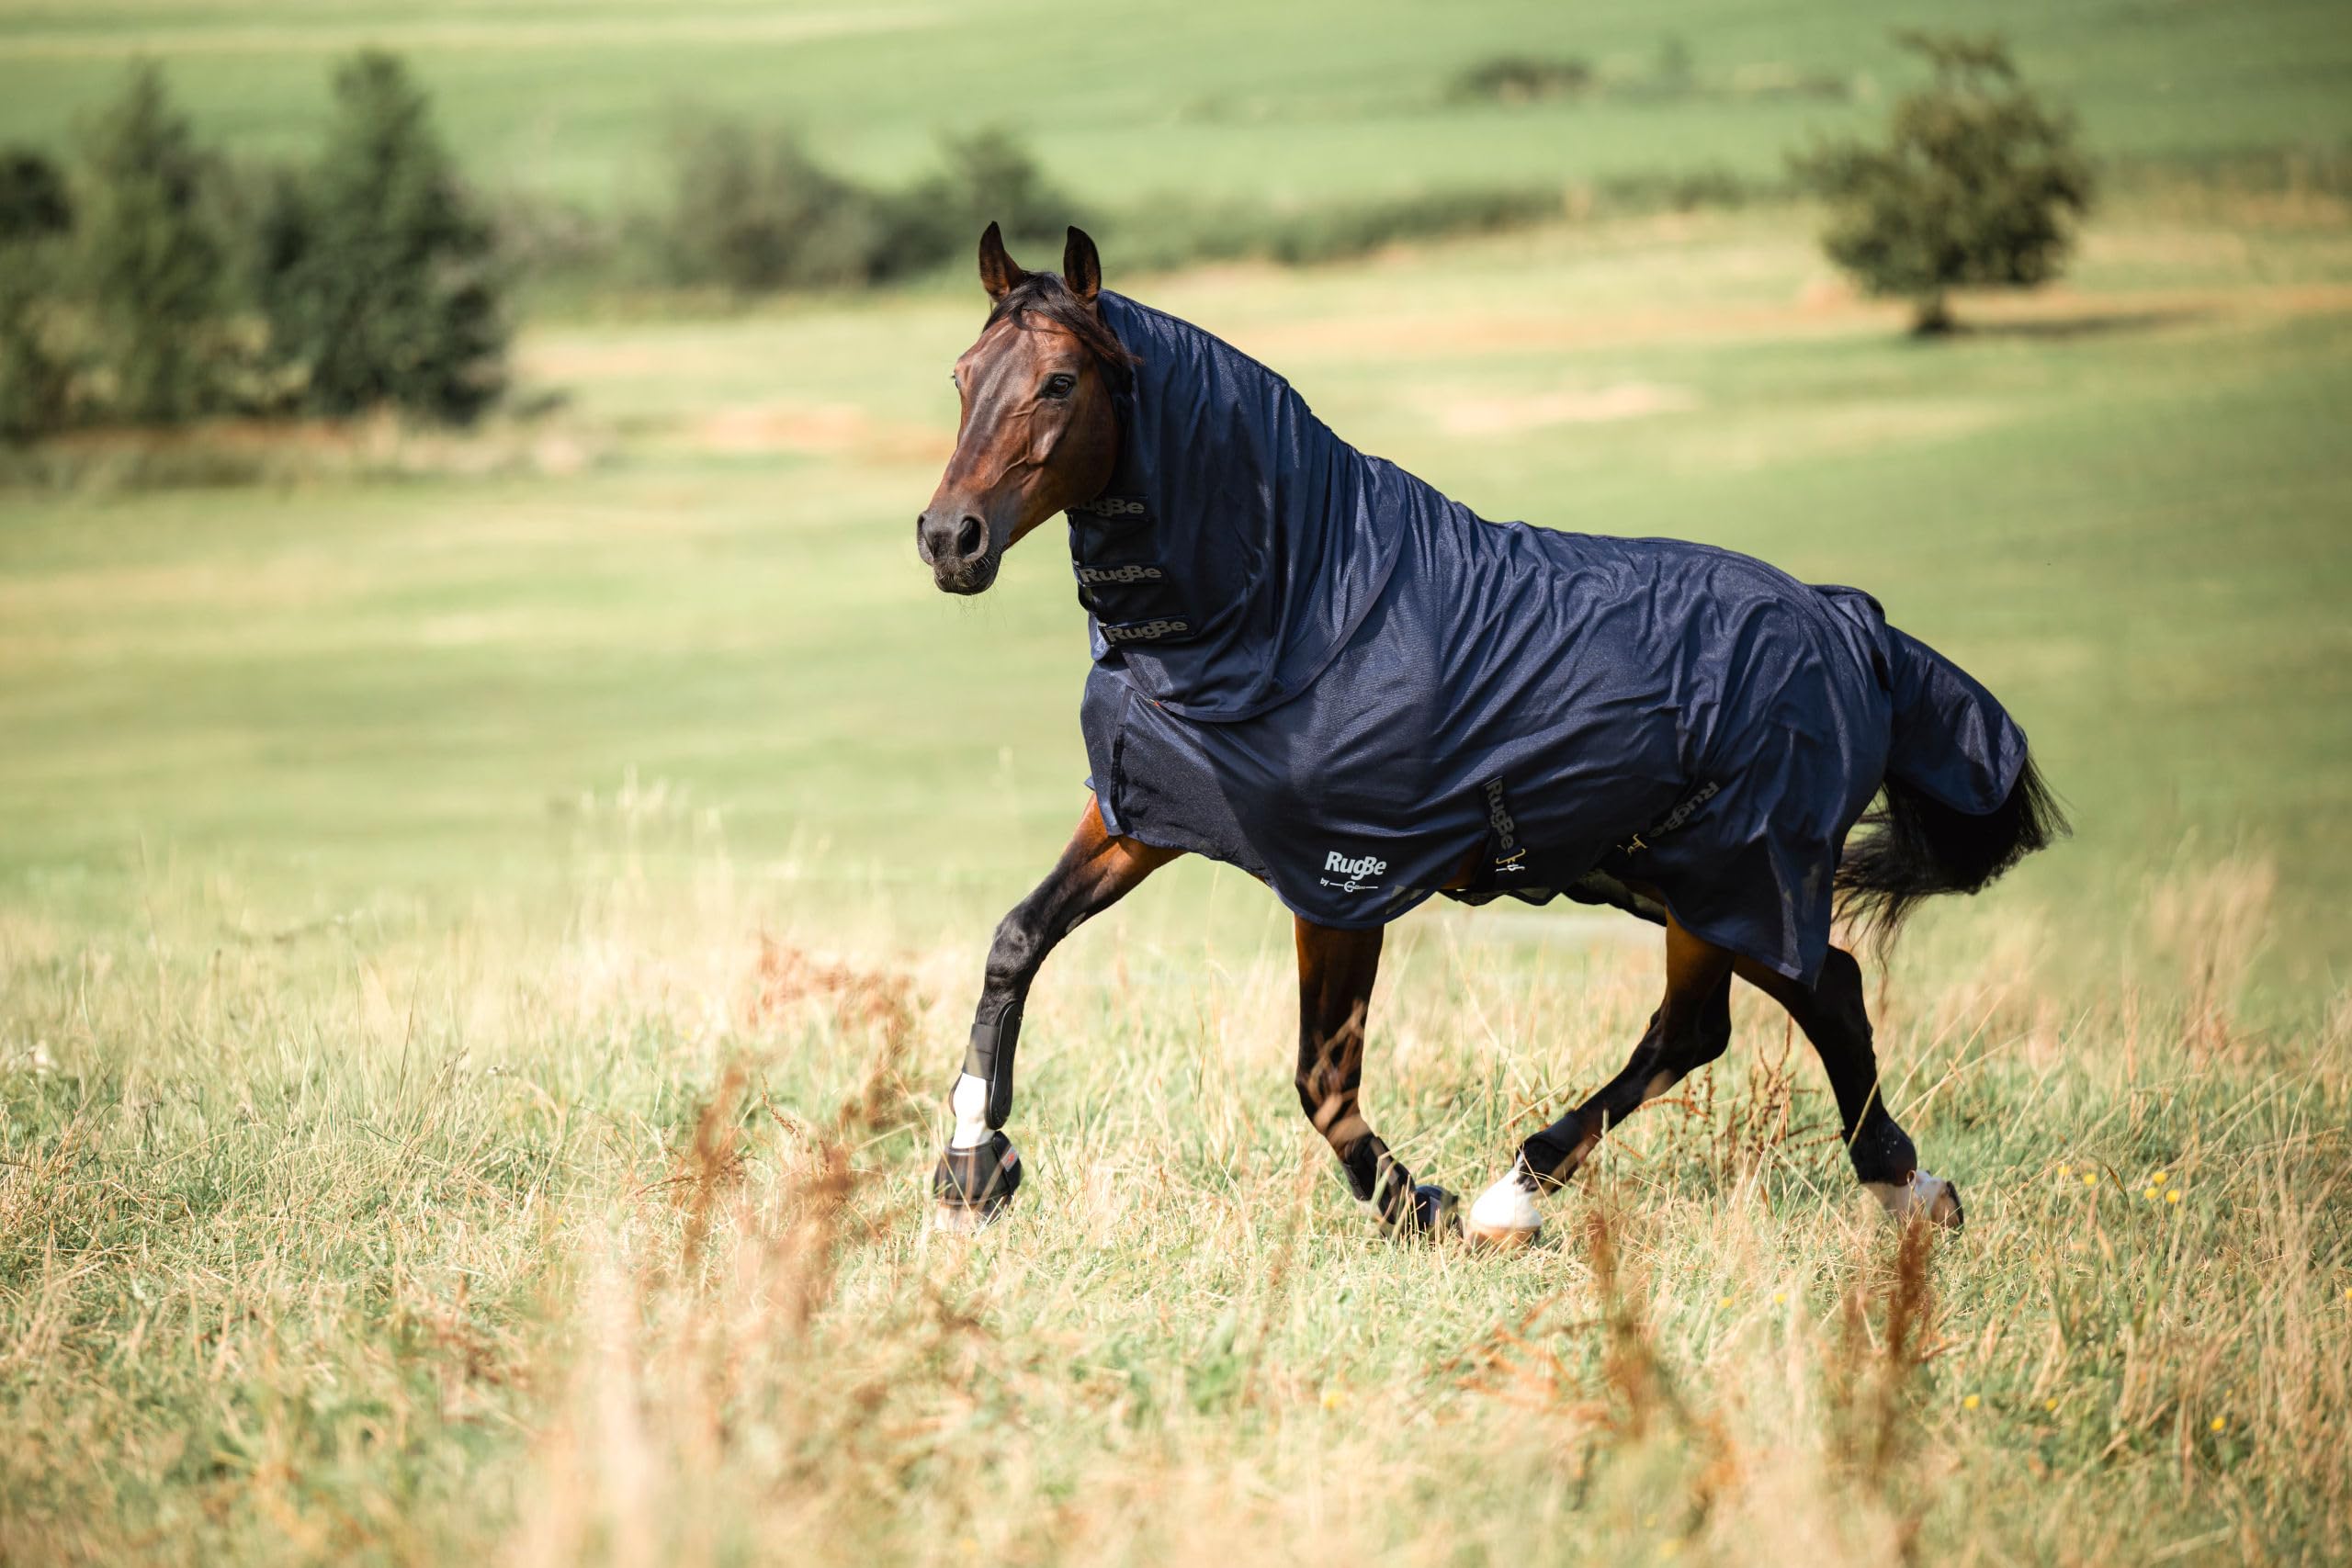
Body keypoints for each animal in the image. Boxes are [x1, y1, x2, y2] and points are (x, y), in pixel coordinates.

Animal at [915, 222, 2063, 1246]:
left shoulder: (1343, 880)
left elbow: (1321, 1076)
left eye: (1060, 382)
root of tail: (1848, 624)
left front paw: (1413, 1205)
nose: (947, 539)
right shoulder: (1141, 817)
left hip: (1728, 870)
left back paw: (1517, 1196)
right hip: (1665, 875)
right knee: (1804, 993)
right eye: (963, 374)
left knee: (1730, 1018)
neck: (1299, 602)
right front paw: (972, 1165)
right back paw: (1897, 1192)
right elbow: (1017, 940)